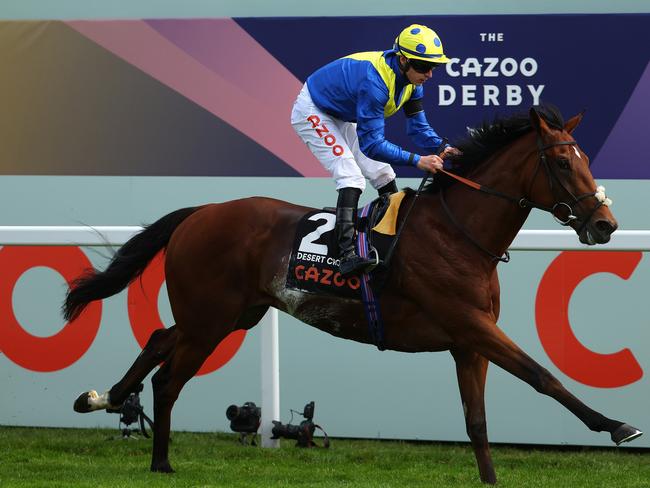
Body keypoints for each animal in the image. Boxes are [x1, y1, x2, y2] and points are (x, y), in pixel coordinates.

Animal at [63, 105, 640, 482]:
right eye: (563, 163)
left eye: (585, 159)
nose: (605, 224)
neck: (457, 232)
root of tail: (200, 212)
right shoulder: (470, 324)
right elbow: (541, 375)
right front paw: (616, 426)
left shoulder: (467, 342)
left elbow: (477, 422)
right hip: (212, 318)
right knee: (168, 376)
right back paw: (158, 457)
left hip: (233, 313)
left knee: (159, 340)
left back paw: (103, 399)